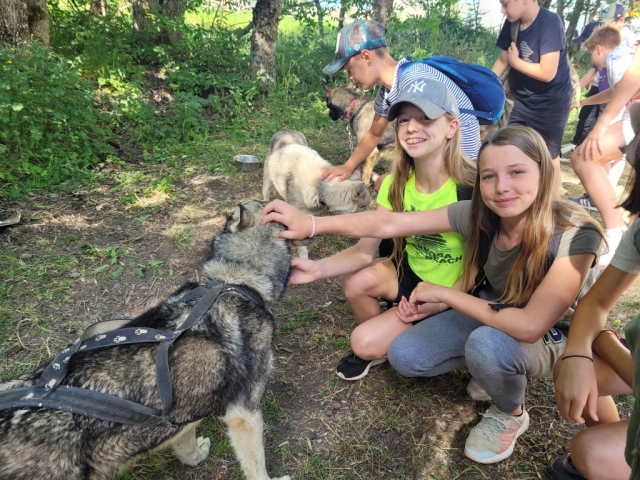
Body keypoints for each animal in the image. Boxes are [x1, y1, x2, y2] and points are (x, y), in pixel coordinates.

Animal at [0, 200, 292, 480]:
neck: (234, 280)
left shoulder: (182, 413)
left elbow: (185, 444)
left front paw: (195, 457)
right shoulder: (244, 412)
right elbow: (257, 466)